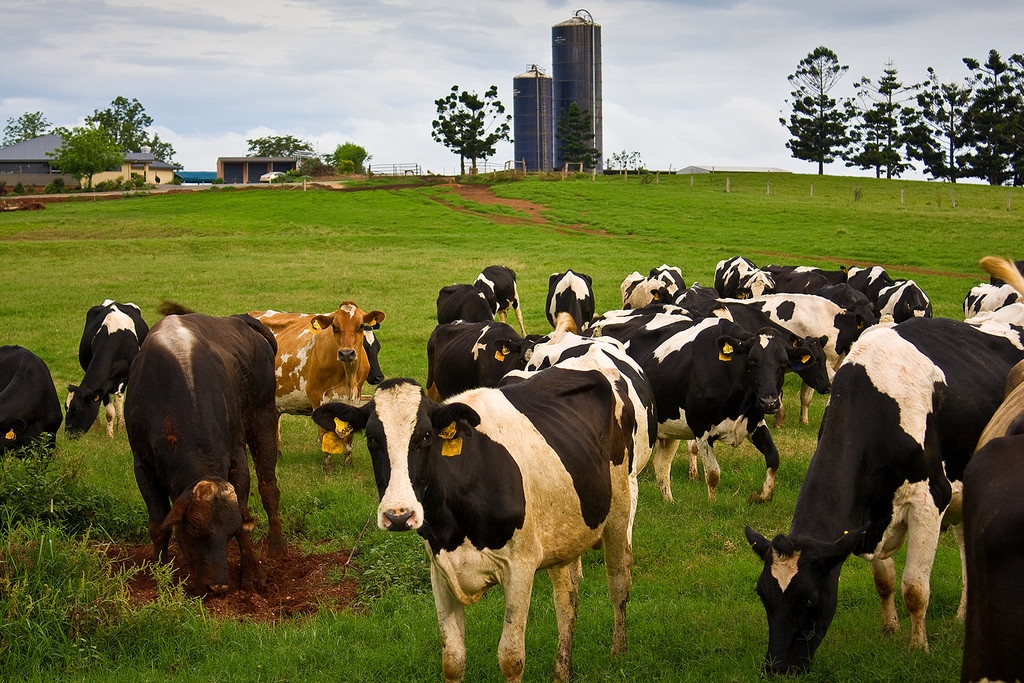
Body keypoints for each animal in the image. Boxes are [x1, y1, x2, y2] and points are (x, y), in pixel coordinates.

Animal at [64, 299, 148, 438]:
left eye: (77, 410)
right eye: (66, 408)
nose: (68, 435)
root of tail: (113, 302)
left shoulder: (124, 377)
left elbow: (118, 403)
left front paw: (120, 428)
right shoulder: (104, 385)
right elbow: (109, 411)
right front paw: (110, 435)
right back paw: (97, 425)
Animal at [129, 307, 288, 593]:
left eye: (229, 530)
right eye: (193, 526)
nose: (218, 586)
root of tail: (241, 319)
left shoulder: (237, 457)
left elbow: (245, 518)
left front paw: (252, 574)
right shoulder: (142, 465)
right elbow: (158, 525)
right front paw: (160, 572)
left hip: (264, 416)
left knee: (269, 487)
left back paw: (277, 547)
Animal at [253, 303, 385, 471]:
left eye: (361, 325)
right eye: (334, 326)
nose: (346, 353)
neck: (348, 377)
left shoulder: (355, 397)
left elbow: (349, 434)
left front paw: (348, 463)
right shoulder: (317, 396)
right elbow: (323, 432)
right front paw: (327, 466)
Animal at [307, 321, 655, 683]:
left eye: (426, 436)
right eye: (373, 439)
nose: (398, 515)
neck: (455, 522)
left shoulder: (520, 567)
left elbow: (511, 658)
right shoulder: (440, 571)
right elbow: (452, 658)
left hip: (620, 509)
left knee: (618, 579)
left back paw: (619, 649)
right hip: (566, 530)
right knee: (567, 598)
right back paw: (562, 671)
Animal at [745, 317, 1024, 679]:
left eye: (809, 599)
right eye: (763, 595)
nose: (777, 667)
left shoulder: (930, 499)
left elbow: (915, 588)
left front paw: (918, 647)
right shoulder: (871, 516)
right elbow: (885, 581)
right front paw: (890, 628)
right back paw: (963, 614)